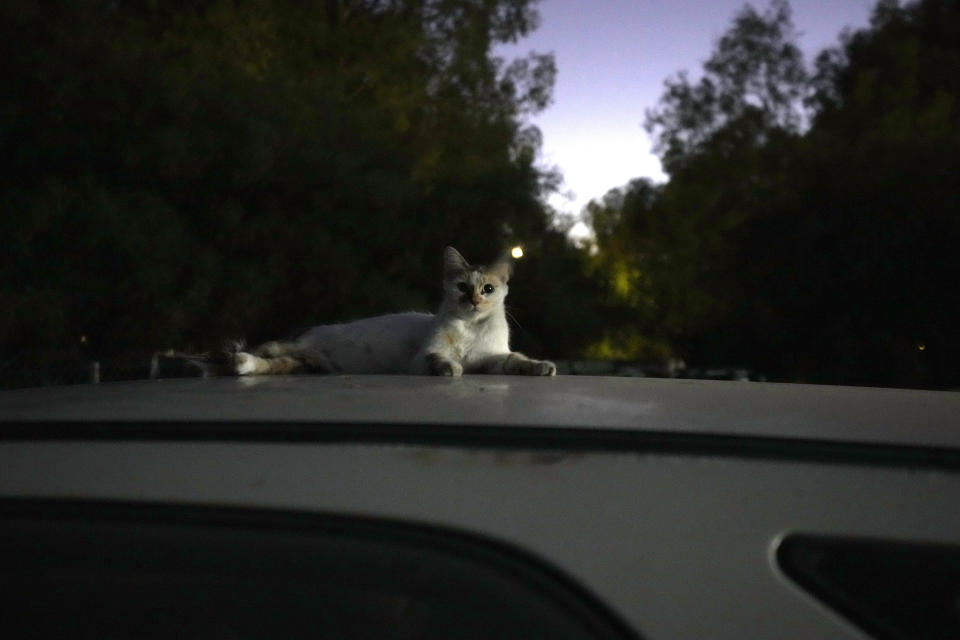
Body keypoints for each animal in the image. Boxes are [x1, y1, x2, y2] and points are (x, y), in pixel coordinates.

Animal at [231, 245, 556, 376]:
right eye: (463, 287)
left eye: (487, 289)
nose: (474, 301)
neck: (470, 328)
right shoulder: (421, 358)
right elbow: (439, 358)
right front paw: (450, 367)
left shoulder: (490, 359)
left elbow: (515, 359)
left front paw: (539, 366)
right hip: (299, 346)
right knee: (273, 346)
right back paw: (244, 353)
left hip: (308, 363)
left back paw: (243, 363)